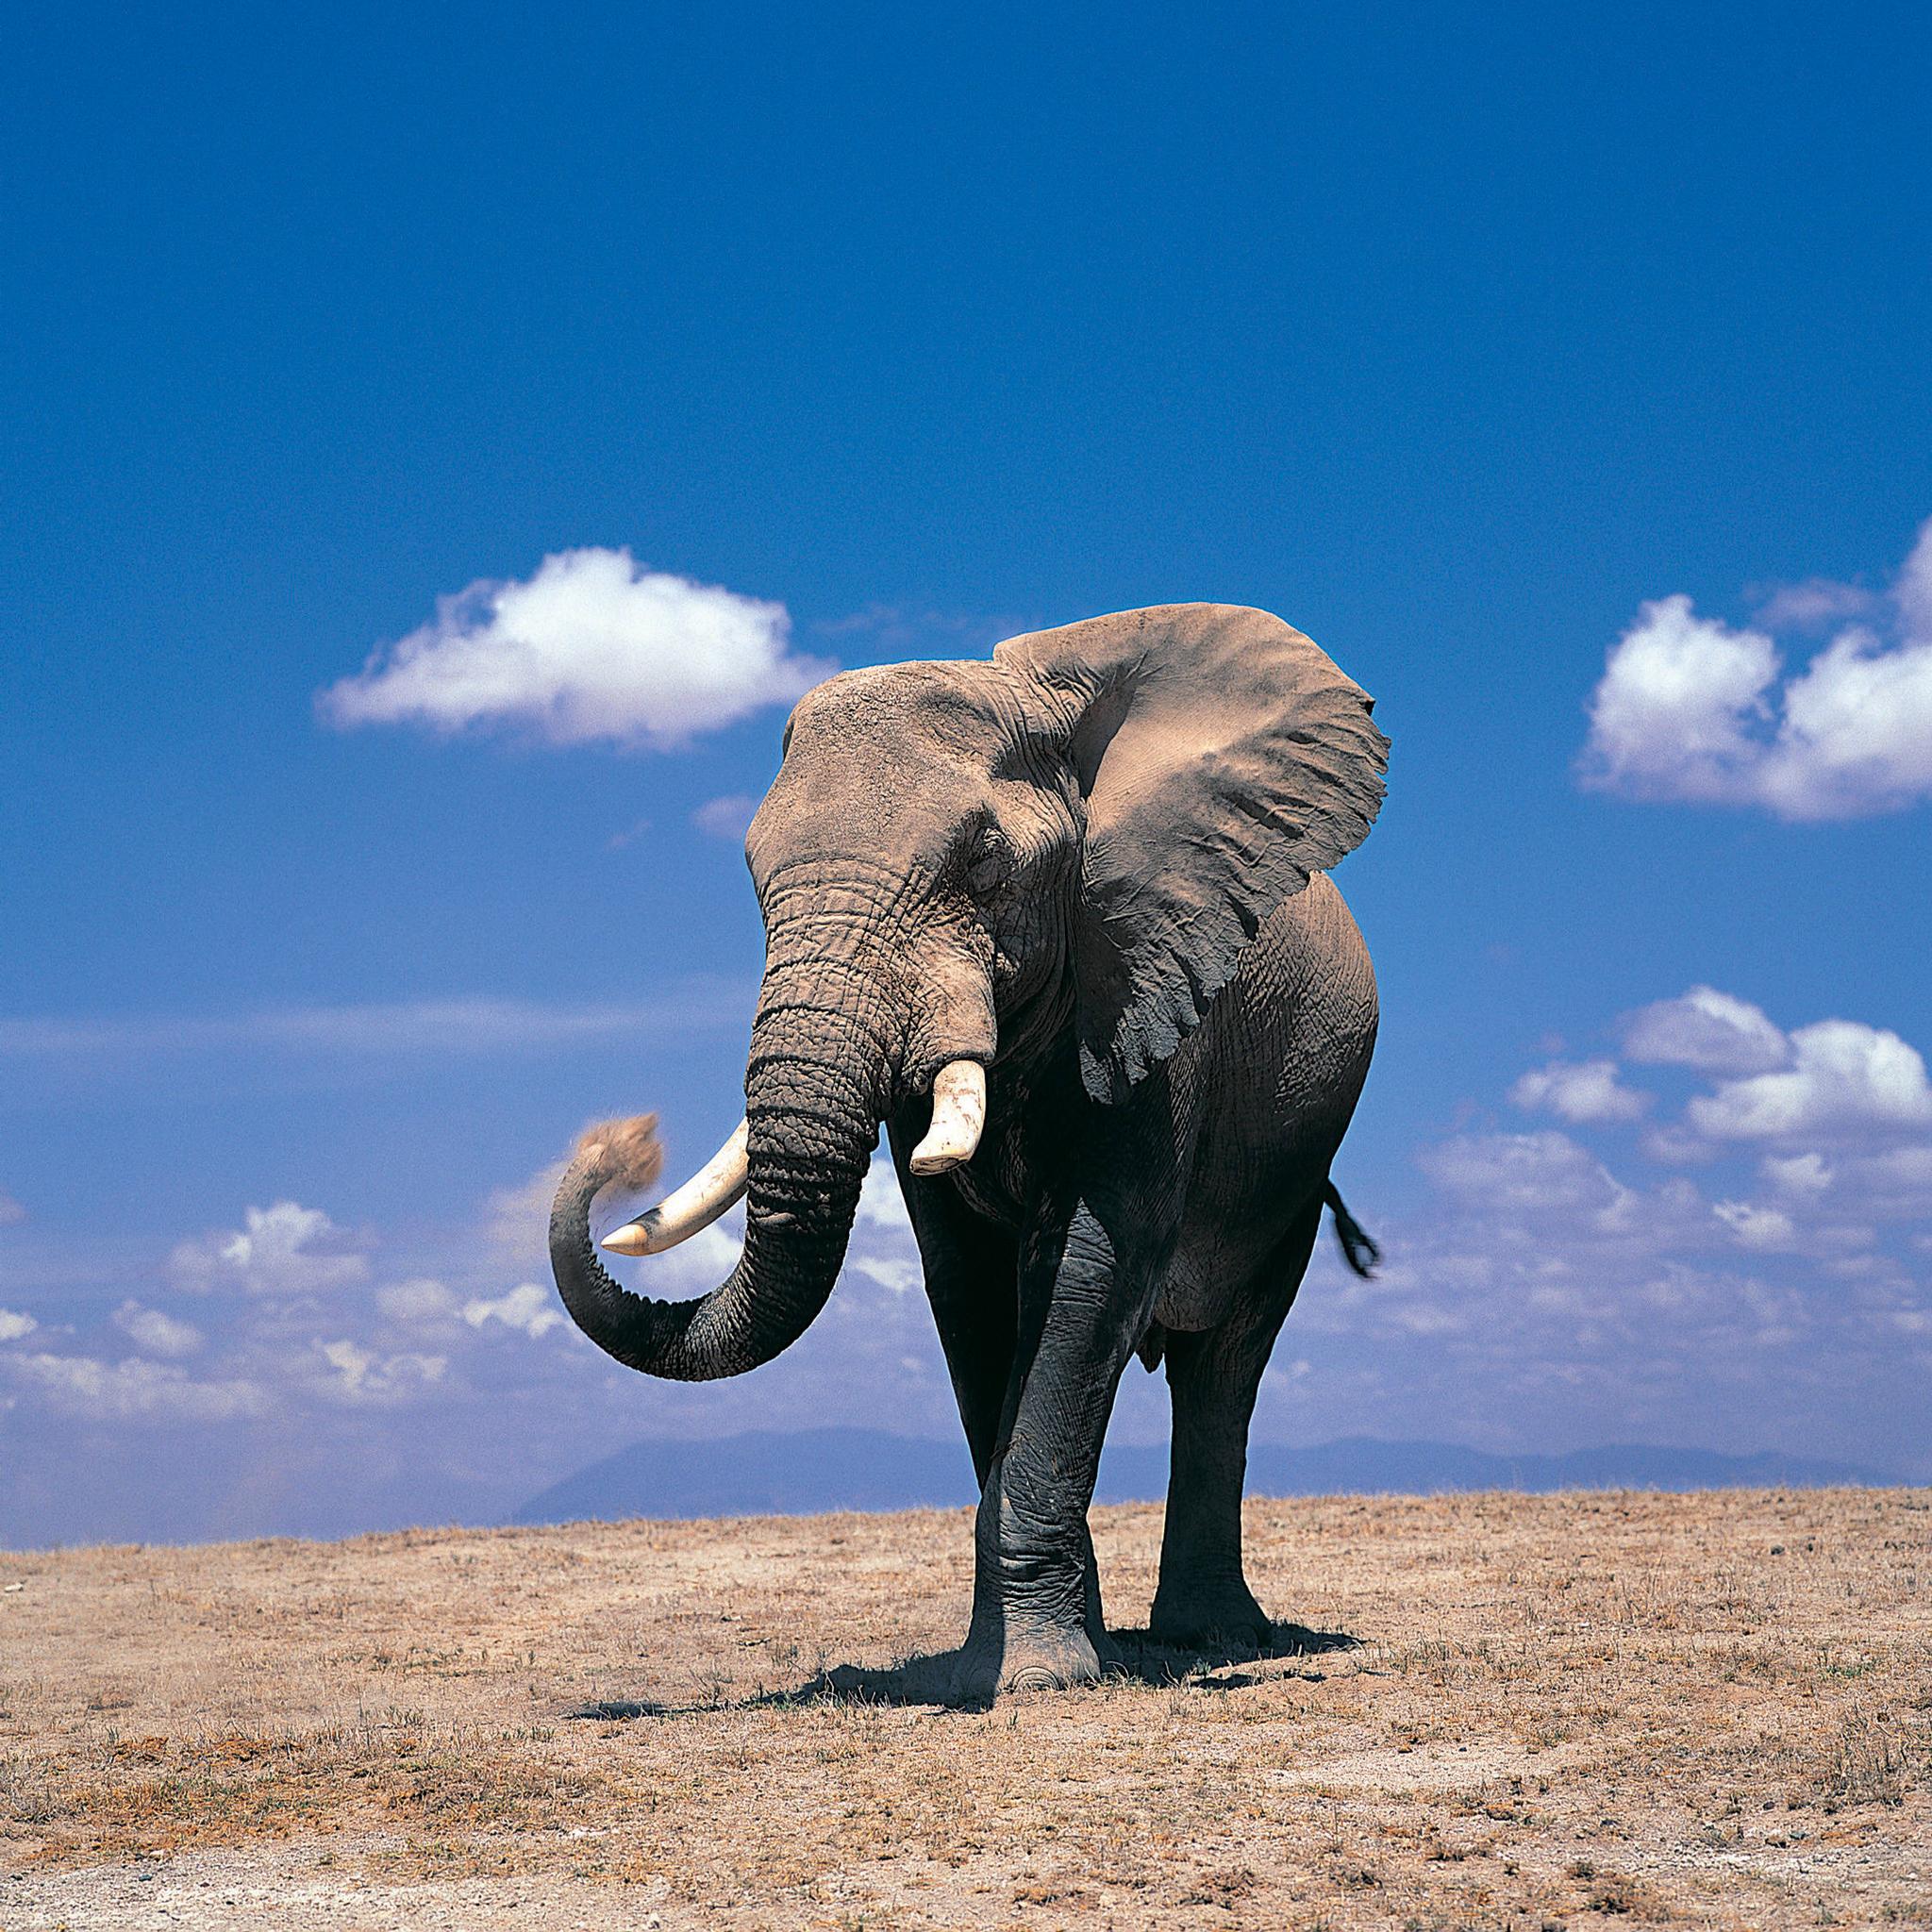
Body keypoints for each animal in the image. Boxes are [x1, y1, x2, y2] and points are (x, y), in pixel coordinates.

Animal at [549, 603, 1387, 1701]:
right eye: (753, 876)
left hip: (1294, 1154)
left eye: (986, 869)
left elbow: (1086, 1271)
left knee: (1225, 1360)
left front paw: (1039, 1681)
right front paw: (1000, 1668)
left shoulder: (1150, 984)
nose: (622, 1144)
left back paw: (1213, 1636)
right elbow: (970, 1289)